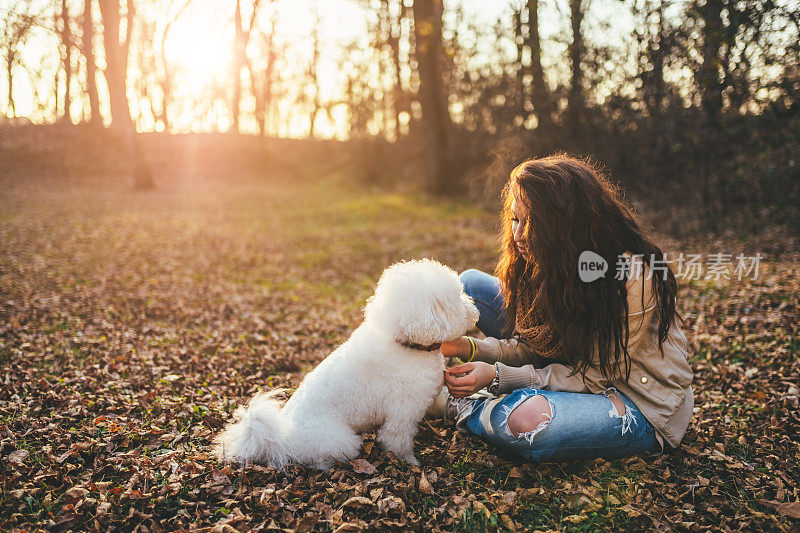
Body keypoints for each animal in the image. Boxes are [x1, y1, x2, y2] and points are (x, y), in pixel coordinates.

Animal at [212, 258, 478, 470]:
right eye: (454, 299)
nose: (474, 310)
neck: (405, 344)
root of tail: (281, 439)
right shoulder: (403, 413)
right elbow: (397, 441)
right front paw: (409, 463)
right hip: (342, 441)